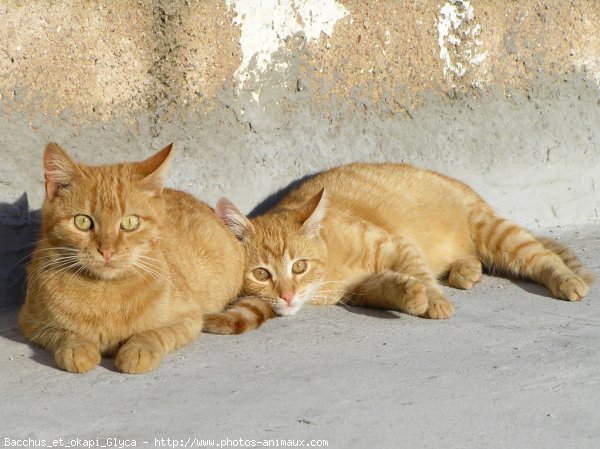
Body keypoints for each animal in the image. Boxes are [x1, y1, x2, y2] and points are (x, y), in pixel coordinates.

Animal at [20, 143, 246, 372]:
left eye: (130, 223)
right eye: (82, 222)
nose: (107, 250)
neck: (106, 296)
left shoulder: (189, 319)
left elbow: (155, 333)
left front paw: (138, 350)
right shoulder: (31, 321)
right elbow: (64, 333)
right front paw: (77, 348)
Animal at [207, 161, 596, 328]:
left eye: (299, 266)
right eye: (261, 274)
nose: (287, 296)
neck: (331, 266)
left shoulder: (396, 244)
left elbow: (419, 273)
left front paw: (434, 301)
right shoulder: (362, 288)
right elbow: (391, 286)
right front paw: (411, 295)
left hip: (494, 231)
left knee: (539, 256)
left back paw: (567, 280)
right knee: (473, 259)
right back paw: (465, 271)